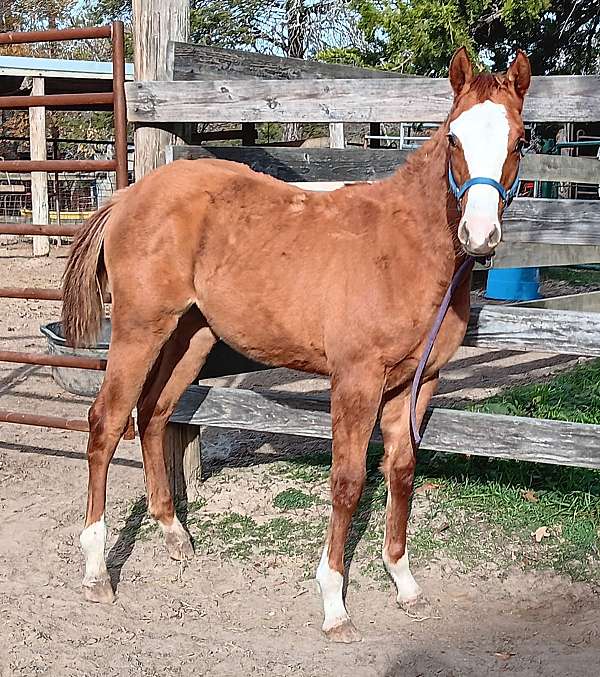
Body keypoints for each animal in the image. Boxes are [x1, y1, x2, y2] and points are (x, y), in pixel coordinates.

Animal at [61, 47, 528, 640]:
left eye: (520, 140)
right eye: (453, 138)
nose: (480, 235)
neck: (407, 250)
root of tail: (127, 195)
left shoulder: (419, 380)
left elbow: (401, 470)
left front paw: (404, 582)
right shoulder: (356, 379)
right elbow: (348, 481)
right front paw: (334, 605)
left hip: (192, 334)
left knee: (154, 413)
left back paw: (173, 534)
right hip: (139, 328)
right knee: (106, 422)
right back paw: (96, 571)